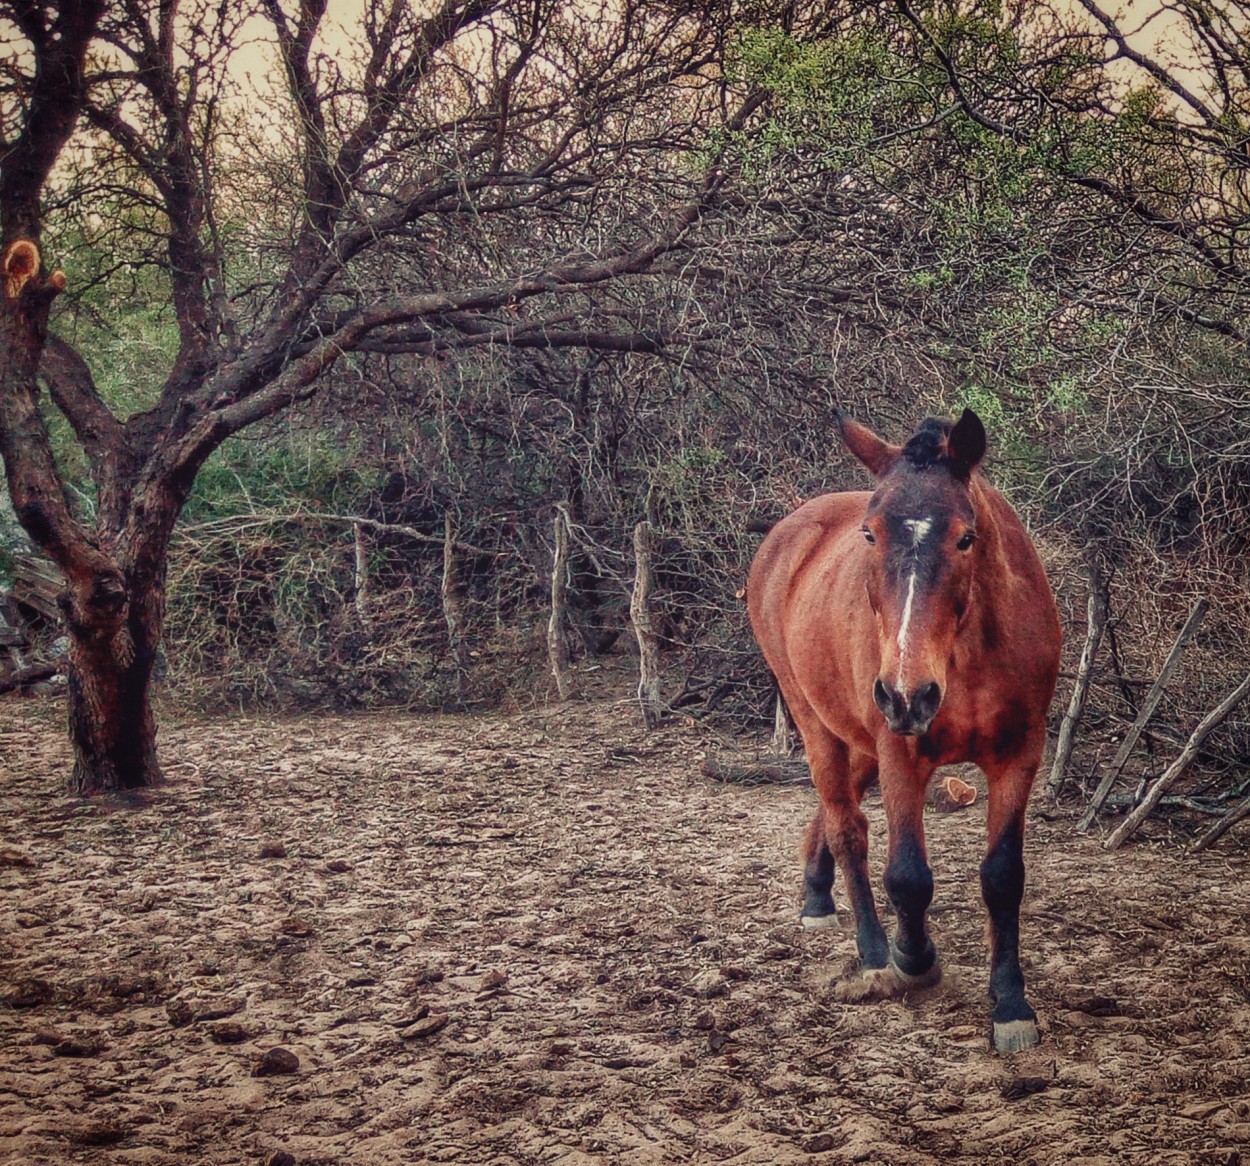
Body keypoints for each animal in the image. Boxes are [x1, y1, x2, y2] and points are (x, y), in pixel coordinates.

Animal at [745, 409, 1060, 1054]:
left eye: (965, 537)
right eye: (870, 535)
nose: (907, 694)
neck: (968, 655)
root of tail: (786, 531)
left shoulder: (1020, 755)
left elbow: (1003, 878)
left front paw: (1010, 1003)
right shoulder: (901, 752)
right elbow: (908, 877)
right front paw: (913, 959)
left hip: (860, 736)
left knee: (836, 811)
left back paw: (816, 892)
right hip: (818, 721)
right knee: (848, 828)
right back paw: (870, 950)